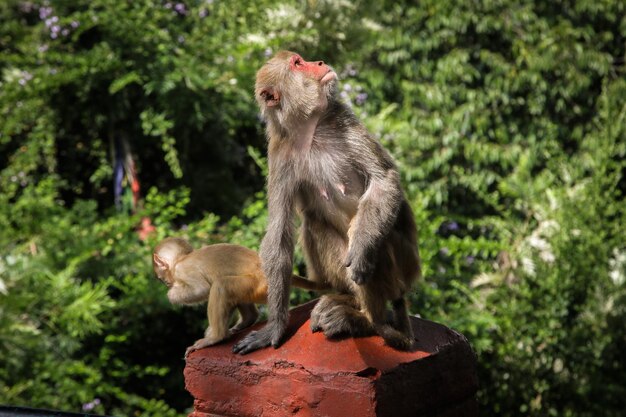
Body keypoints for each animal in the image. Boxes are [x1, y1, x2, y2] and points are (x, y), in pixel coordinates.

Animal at [152, 237, 326, 354]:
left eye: (161, 279)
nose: (166, 283)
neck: (181, 259)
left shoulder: (183, 270)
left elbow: (200, 289)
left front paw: (171, 295)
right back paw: (248, 319)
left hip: (260, 285)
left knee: (221, 285)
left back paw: (216, 337)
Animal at [230, 50, 420, 352]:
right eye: (298, 63)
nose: (318, 63)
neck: (309, 129)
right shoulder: (280, 154)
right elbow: (279, 231)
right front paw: (274, 327)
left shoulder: (344, 120)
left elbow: (383, 179)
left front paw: (362, 249)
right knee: (313, 224)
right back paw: (348, 302)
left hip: (403, 268)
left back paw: (367, 320)